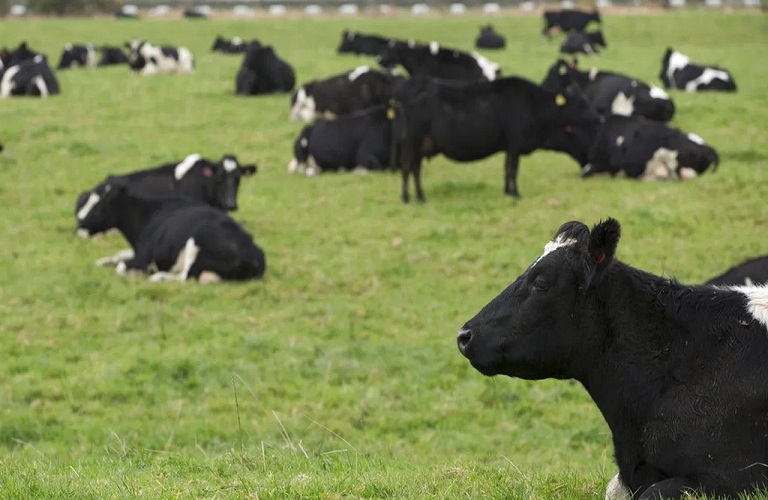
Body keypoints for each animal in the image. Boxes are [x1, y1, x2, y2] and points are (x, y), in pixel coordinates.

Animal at [76, 179, 266, 282]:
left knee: (185, 278)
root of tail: (253, 252)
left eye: (100, 205)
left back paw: (156, 277)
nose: (80, 224)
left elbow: (121, 266)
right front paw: (99, 262)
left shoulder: (145, 257)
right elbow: (118, 255)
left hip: (198, 239)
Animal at [390, 75, 600, 203]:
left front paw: (507, 191)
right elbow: (513, 169)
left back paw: (420, 196)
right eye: (581, 103)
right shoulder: (515, 143)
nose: (599, 118)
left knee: (415, 169)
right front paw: (515, 193)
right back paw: (407, 197)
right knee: (408, 167)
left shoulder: (508, 146)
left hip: (419, 145)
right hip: (411, 140)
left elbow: (506, 168)